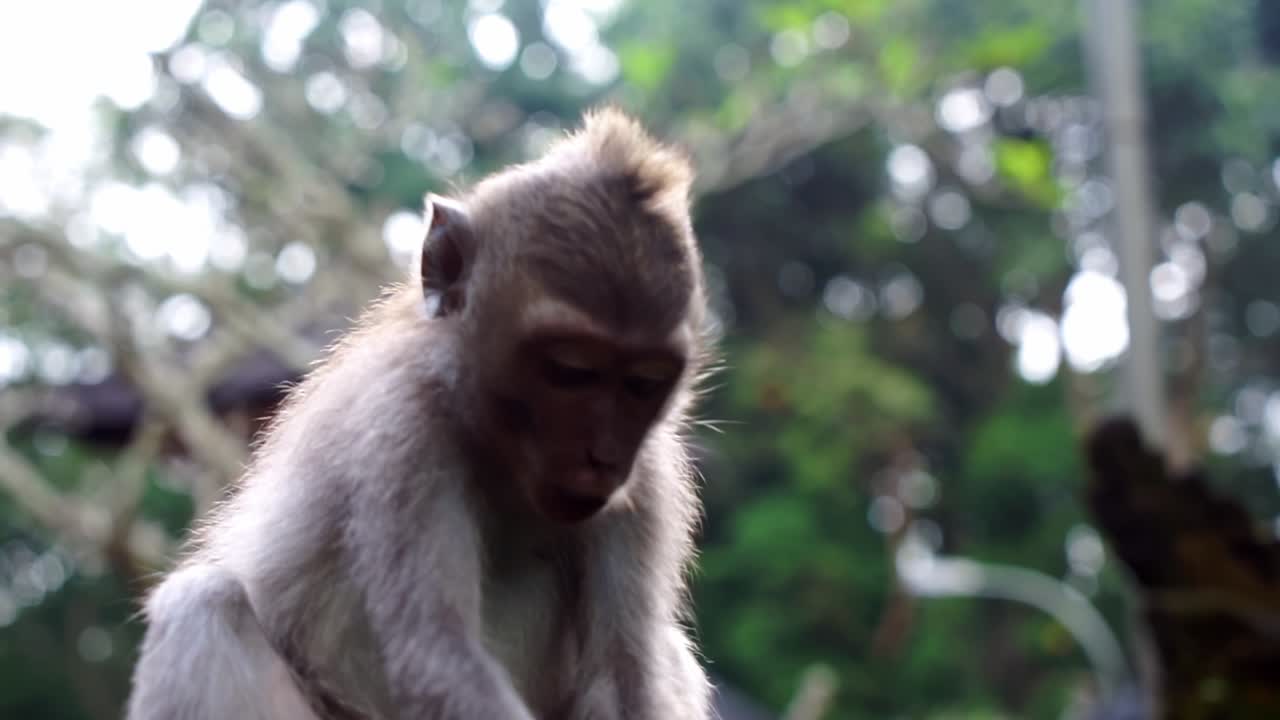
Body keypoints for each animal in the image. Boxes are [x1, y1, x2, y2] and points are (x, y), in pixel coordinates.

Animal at [126, 108, 715, 720]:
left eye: (644, 383)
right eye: (569, 370)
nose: (601, 456)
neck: (496, 446)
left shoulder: (647, 481)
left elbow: (622, 676)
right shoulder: (401, 429)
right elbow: (435, 656)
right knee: (202, 605)